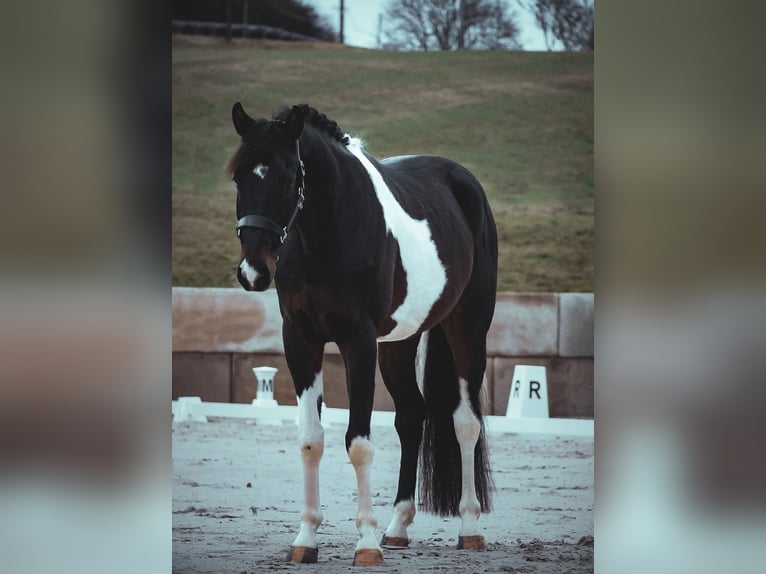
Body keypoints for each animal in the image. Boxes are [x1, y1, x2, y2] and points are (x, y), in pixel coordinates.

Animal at [228, 103, 498, 566]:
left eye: (288, 176)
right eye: (239, 177)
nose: (254, 271)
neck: (326, 231)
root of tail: (464, 182)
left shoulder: (358, 341)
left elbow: (358, 443)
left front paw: (366, 544)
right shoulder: (300, 340)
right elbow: (310, 440)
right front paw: (306, 540)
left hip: (467, 329)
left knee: (465, 422)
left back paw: (468, 528)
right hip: (398, 345)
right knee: (412, 417)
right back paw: (398, 526)